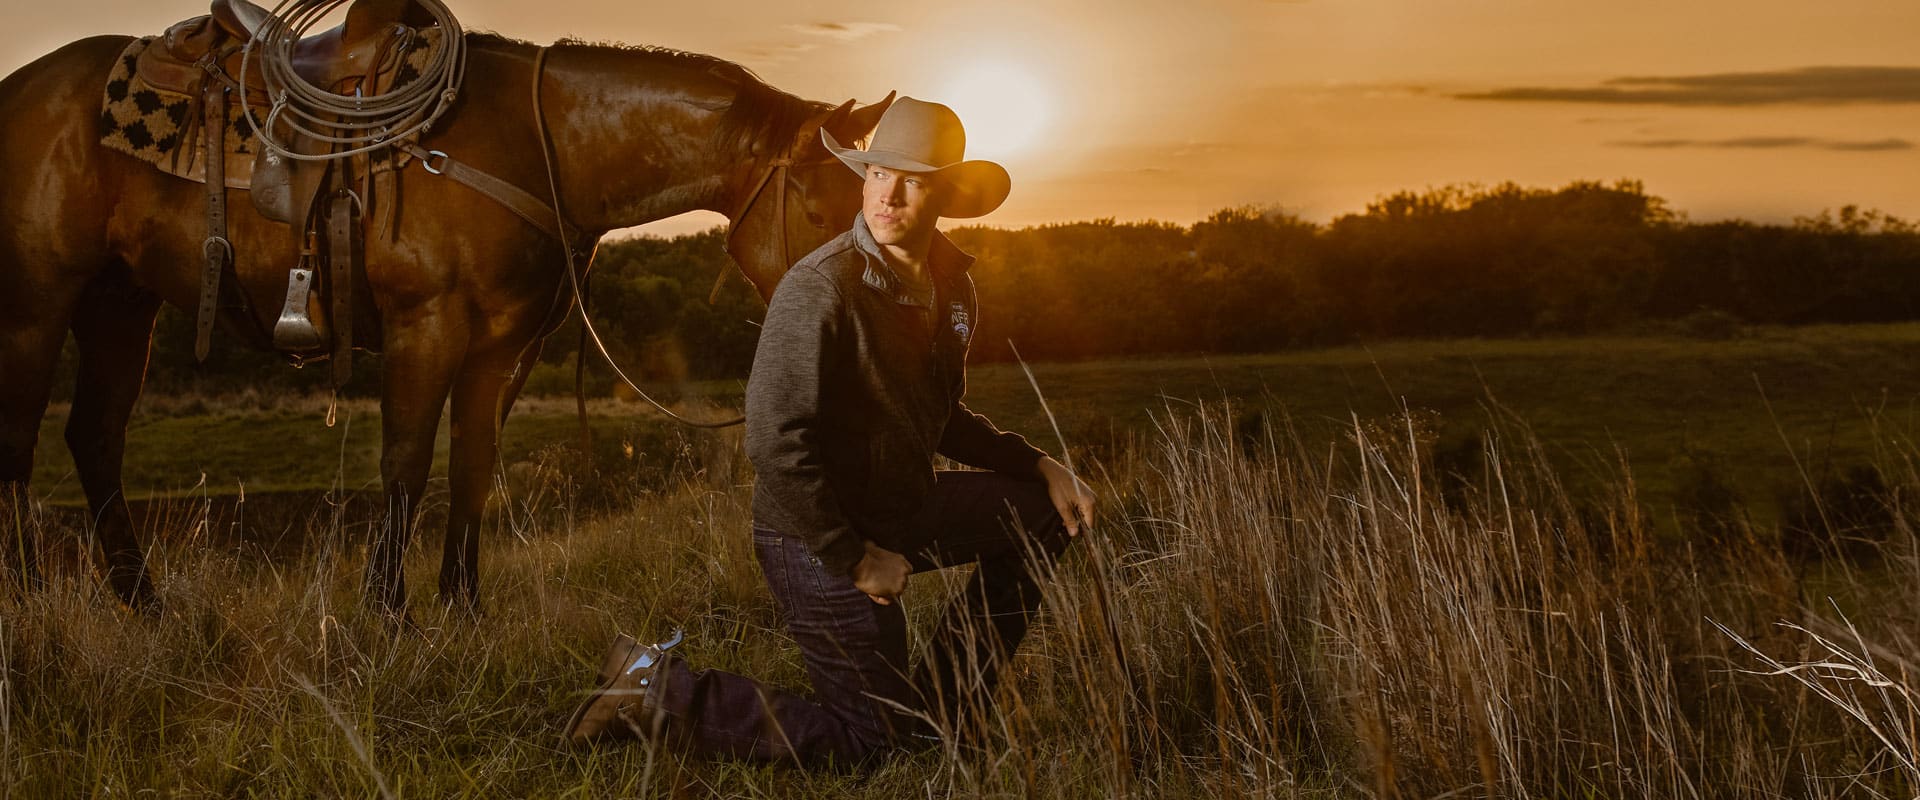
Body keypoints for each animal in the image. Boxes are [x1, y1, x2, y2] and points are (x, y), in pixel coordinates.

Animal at [0, 20, 890, 617]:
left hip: (119, 303)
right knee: (20, 444)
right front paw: (386, 609)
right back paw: (30, 600)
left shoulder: (503, 348)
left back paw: (144, 604)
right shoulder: (426, 326)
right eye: (819, 208)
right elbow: (405, 462)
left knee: (95, 437)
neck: (537, 145)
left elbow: (472, 467)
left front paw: (461, 606)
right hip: (36, 306)